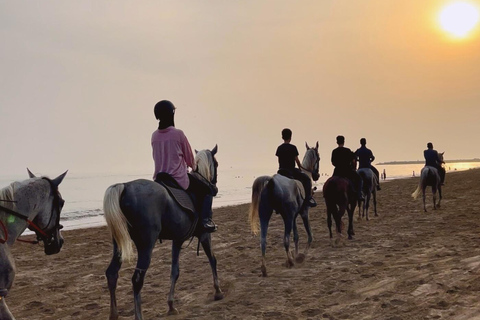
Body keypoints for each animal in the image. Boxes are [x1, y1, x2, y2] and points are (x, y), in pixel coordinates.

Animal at [103, 146, 223, 320]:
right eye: (216, 163)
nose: (214, 188)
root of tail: (124, 187)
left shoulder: (178, 240)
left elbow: (175, 271)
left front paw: (171, 305)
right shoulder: (205, 235)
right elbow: (212, 260)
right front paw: (218, 291)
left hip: (118, 243)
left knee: (112, 274)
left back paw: (113, 314)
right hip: (146, 245)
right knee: (137, 280)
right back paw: (138, 315)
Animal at [249, 142, 320, 278]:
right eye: (318, 158)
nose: (317, 175)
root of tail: (271, 182)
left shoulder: (294, 216)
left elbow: (296, 236)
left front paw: (296, 254)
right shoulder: (303, 213)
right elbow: (310, 235)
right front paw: (300, 257)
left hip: (265, 215)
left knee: (263, 241)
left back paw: (264, 269)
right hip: (287, 217)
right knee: (285, 240)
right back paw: (290, 262)